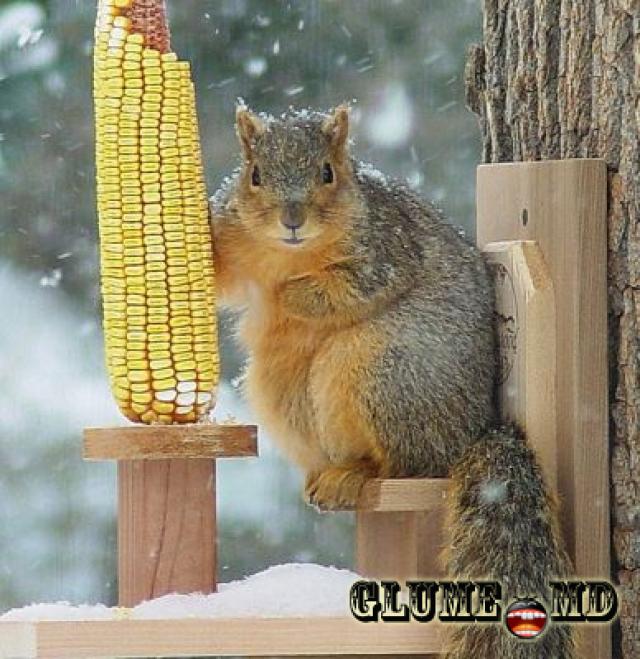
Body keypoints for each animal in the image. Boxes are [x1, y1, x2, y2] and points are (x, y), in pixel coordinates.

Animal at [210, 104, 574, 658]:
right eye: (254, 176)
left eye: (327, 173)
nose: (292, 219)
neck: (289, 253)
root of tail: (472, 431)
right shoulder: (235, 233)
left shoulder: (387, 250)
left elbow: (346, 289)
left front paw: (285, 296)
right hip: (282, 389)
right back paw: (326, 474)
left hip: (385, 367)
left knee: (405, 461)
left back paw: (354, 474)